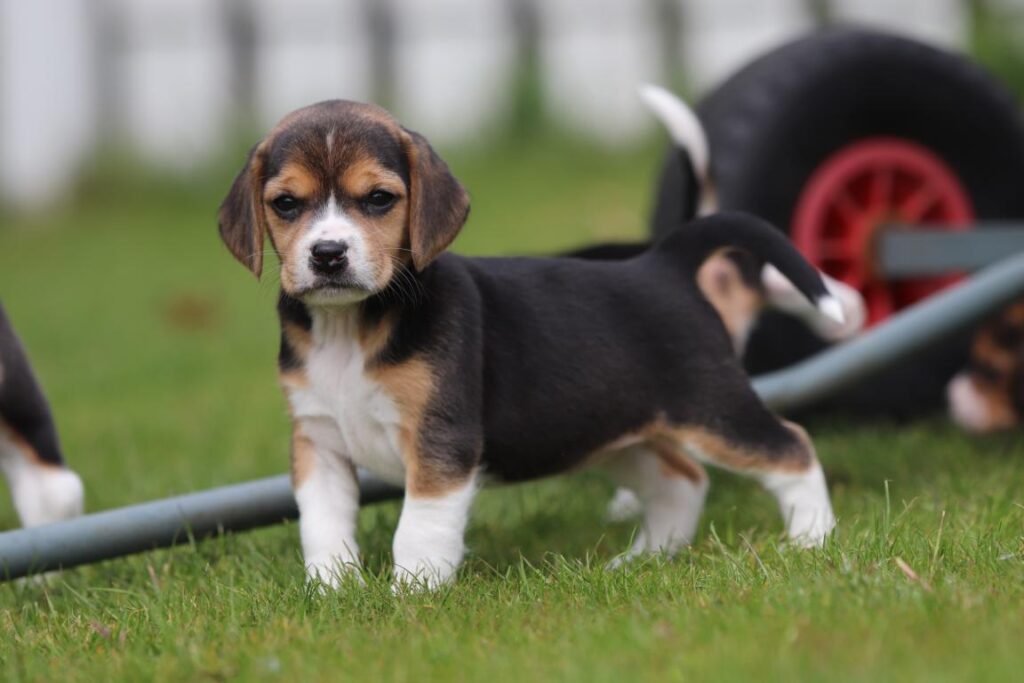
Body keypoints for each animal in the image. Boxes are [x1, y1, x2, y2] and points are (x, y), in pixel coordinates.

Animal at [214, 93, 839, 589]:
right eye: (286, 204)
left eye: (378, 199)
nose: (327, 254)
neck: (351, 325)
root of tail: (665, 261)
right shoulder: (318, 442)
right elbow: (323, 527)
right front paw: (333, 593)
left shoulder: (440, 444)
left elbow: (419, 529)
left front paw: (411, 596)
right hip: (614, 434)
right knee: (681, 482)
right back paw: (643, 561)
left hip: (713, 410)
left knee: (793, 448)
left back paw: (813, 539)